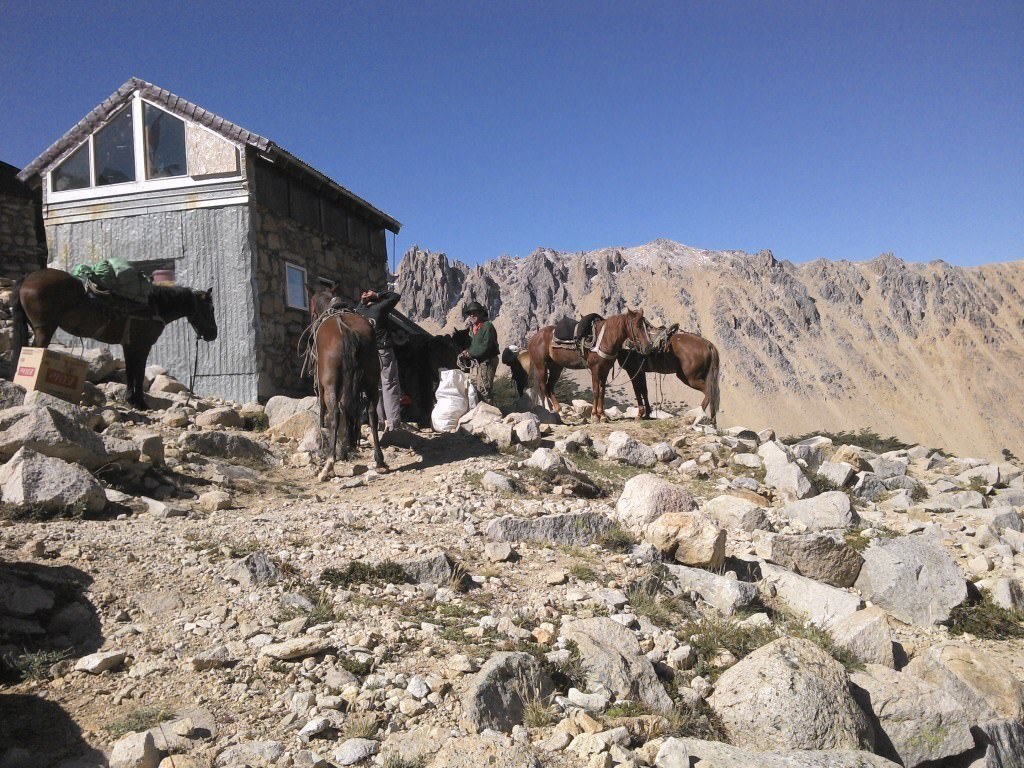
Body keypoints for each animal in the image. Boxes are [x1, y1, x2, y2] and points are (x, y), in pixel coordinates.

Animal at [12, 268, 216, 409]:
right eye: (210, 309)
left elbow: (131, 372)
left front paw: (131, 400)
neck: (155, 305)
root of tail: (28, 277)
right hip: (44, 330)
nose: (213, 334)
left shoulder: (129, 345)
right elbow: (139, 372)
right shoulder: (142, 345)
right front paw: (140, 403)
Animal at [305, 286, 385, 475]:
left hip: (331, 385)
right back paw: (379, 460)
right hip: (372, 382)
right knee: (372, 414)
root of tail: (347, 330)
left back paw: (329, 463)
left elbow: (324, 410)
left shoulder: (322, 384)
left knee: (335, 413)